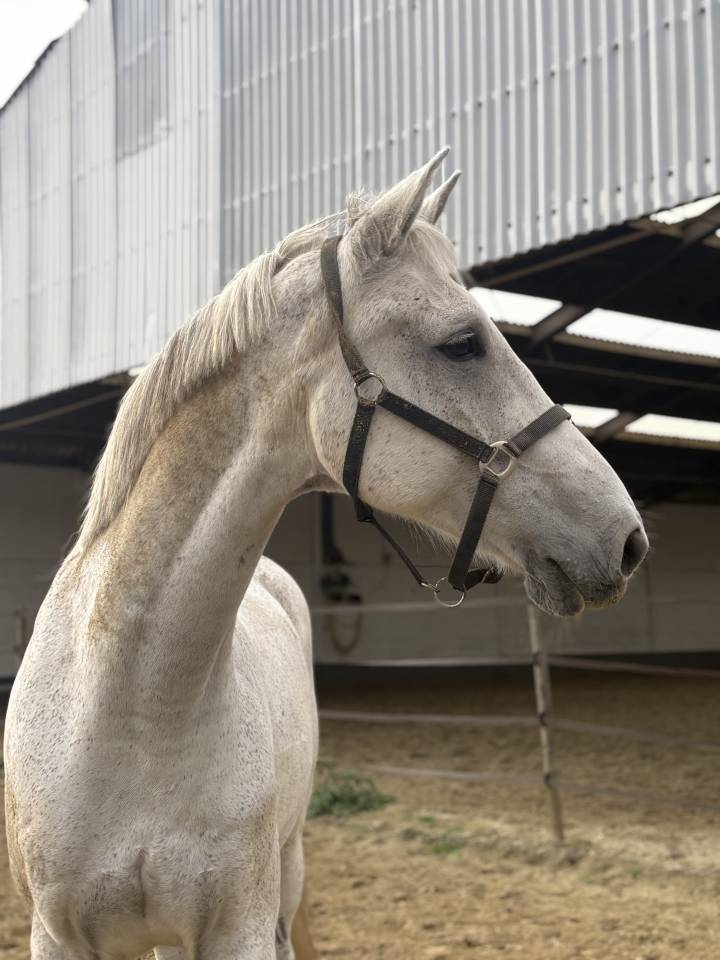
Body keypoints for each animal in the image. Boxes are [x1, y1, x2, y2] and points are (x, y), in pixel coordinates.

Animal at [4, 148, 648, 960]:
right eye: (462, 342)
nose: (627, 539)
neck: (130, 714)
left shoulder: (239, 927)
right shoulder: (60, 935)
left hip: (288, 866)